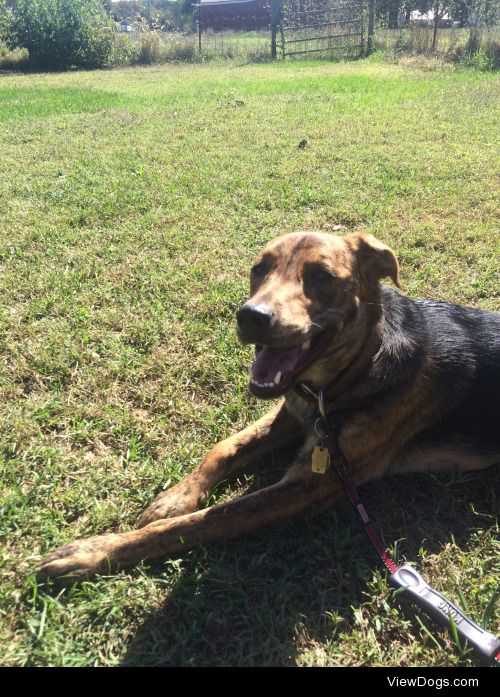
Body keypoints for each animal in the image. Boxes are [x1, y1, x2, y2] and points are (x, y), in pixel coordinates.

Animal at [38, 231, 500, 580]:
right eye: (258, 269)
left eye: (322, 276)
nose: (251, 317)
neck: (354, 371)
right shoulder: (290, 413)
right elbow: (223, 447)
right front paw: (175, 498)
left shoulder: (307, 486)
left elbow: (210, 519)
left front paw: (94, 552)